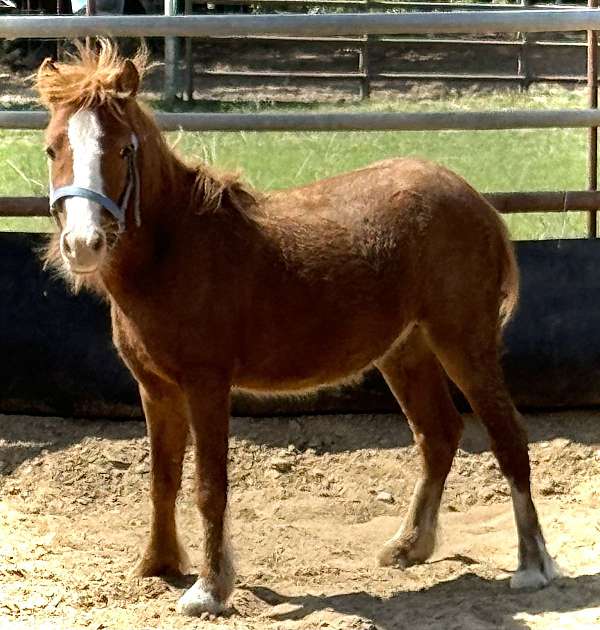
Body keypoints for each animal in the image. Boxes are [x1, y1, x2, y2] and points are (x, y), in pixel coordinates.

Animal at [37, 43, 556, 616]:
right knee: (438, 435)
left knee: (508, 436)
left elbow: (208, 485)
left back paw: (533, 566)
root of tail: (475, 200)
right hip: (407, 351)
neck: (177, 250)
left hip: (464, 341)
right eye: (51, 148)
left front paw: (209, 589)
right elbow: (162, 478)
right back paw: (409, 546)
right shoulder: (155, 387)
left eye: (124, 149)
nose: (83, 244)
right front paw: (157, 565)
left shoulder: (206, 384)